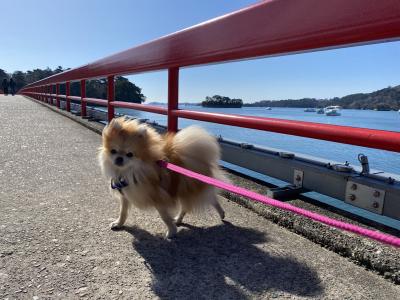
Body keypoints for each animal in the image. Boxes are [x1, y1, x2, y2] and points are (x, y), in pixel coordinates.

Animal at [98, 118, 227, 239]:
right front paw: (119, 223)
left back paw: (220, 213)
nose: (119, 158)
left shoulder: (158, 196)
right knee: (188, 205)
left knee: (210, 198)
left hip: (188, 187)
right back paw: (179, 219)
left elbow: (164, 216)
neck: (128, 172)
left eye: (130, 154)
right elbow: (123, 212)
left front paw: (172, 231)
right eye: (113, 151)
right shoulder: (125, 195)